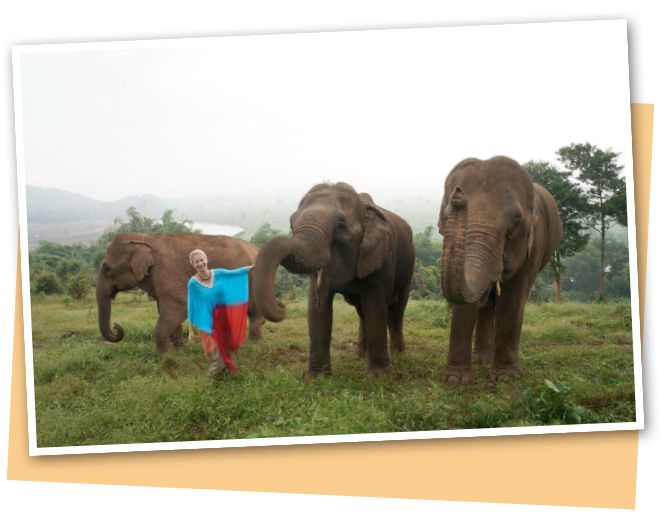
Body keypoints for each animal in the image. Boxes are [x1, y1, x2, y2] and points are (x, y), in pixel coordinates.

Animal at [96, 232, 264, 353]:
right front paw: (178, 349)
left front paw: (166, 355)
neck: (143, 237)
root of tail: (256, 248)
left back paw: (254, 344)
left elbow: (179, 305)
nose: (116, 326)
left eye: (107, 269)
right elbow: (166, 309)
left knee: (255, 312)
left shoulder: (166, 270)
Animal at [253, 182, 415, 379]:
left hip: (409, 266)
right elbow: (317, 310)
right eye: (291, 224)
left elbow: (376, 306)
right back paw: (360, 356)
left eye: (341, 225)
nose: (281, 305)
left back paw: (399, 356)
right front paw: (317, 379)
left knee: (396, 310)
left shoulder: (383, 257)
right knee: (363, 313)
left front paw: (378, 378)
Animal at [437, 156, 563, 382]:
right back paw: (482, 359)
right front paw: (455, 378)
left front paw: (506, 377)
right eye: (446, 217)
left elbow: (513, 296)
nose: (458, 195)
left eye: (514, 225)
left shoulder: (533, 245)